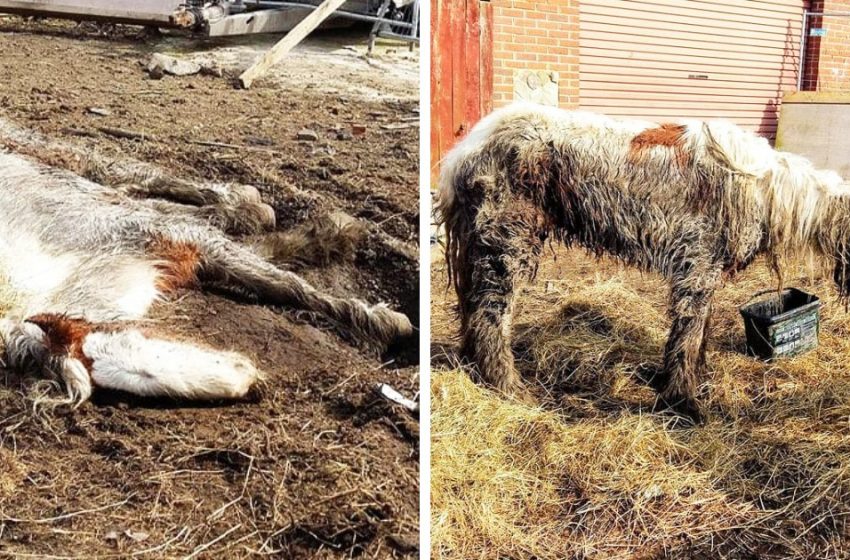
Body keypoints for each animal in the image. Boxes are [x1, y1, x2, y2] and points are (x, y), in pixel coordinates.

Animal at [0, 118, 414, 406]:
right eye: (138, 378)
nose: (249, 377)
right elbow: (263, 265)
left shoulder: (166, 230)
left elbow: (283, 283)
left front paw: (383, 320)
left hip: (59, 159)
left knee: (128, 173)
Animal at [434, 103, 848, 422]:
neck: (765, 188)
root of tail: (465, 150)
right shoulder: (697, 267)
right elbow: (687, 337)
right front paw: (683, 403)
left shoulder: (705, 272)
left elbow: (697, 335)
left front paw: (690, 383)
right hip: (507, 246)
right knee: (489, 317)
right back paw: (508, 388)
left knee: (472, 311)